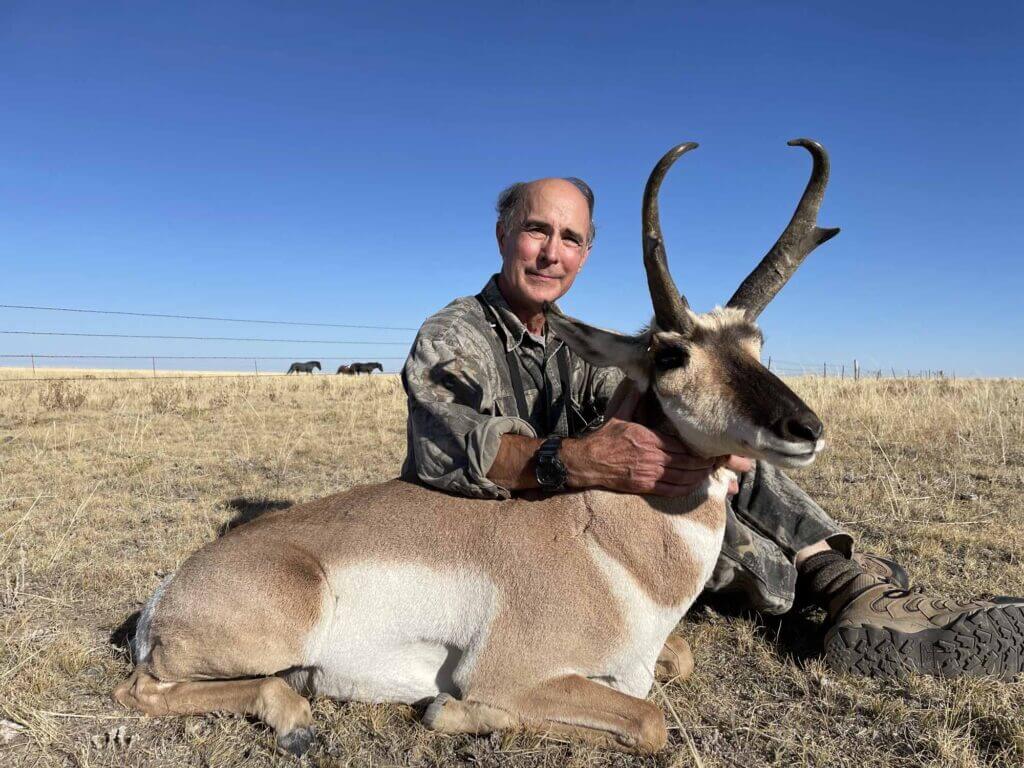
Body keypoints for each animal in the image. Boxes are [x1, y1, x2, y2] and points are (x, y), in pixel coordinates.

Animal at [113, 138, 839, 756]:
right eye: (669, 354)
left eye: (757, 344)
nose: (805, 429)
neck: (601, 536)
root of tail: (167, 594)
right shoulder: (515, 675)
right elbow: (648, 719)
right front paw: (451, 709)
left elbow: (675, 666)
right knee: (143, 689)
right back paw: (296, 720)